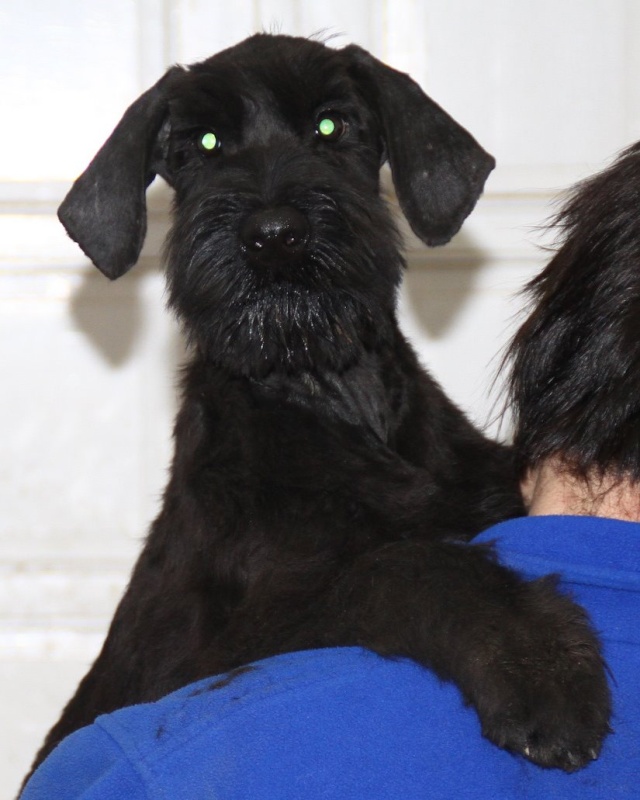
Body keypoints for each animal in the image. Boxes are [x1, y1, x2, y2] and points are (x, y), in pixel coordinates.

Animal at [28, 32, 608, 776]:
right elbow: (401, 563)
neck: (324, 392)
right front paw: (537, 665)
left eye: (332, 126)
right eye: (204, 143)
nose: (275, 234)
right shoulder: (226, 649)